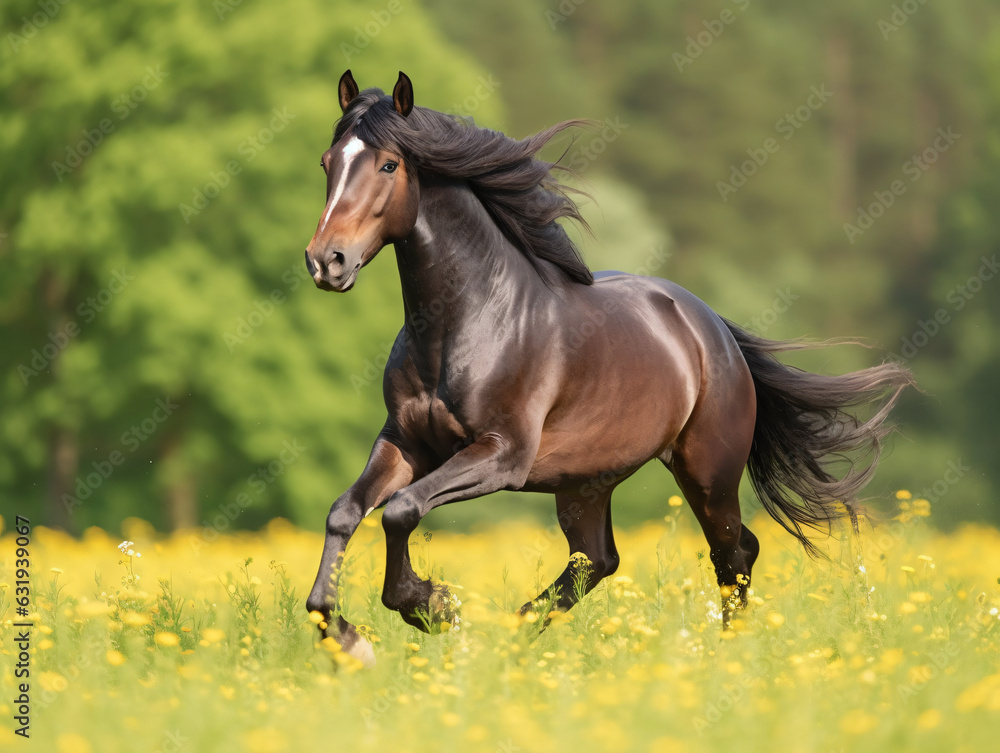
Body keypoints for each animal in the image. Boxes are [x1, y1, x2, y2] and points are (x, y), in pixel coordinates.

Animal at [302, 70, 916, 664]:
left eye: (389, 164)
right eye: (327, 163)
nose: (326, 261)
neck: (464, 324)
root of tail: (713, 328)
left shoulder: (502, 455)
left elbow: (400, 510)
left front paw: (432, 607)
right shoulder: (405, 442)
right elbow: (345, 512)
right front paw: (346, 635)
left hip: (707, 473)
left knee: (733, 552)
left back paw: (725, 657)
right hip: (585, 482)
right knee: (598, 559)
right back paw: (517, 634)